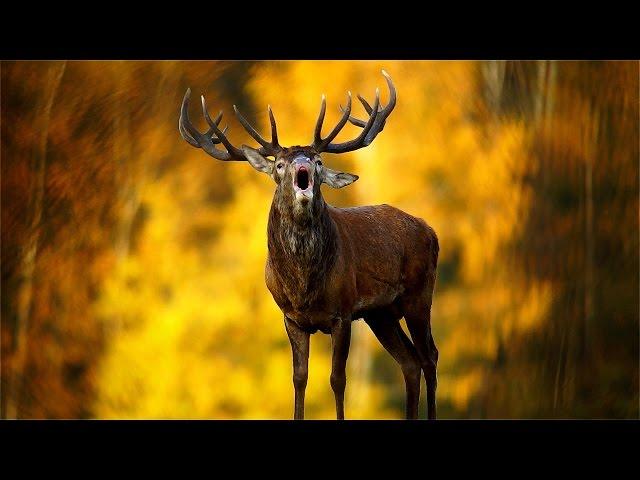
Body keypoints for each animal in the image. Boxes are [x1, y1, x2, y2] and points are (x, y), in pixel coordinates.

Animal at [180, 71, 440, 420]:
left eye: (317, 160)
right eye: (279, 164)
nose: (303, 162)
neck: (304, 286)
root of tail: (431, 231)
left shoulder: (343, 312)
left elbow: (337, 379)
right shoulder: (291, 317)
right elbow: (299, 378)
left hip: (419, 294)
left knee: (430, 356)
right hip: (381, 313)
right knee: (409, 362)